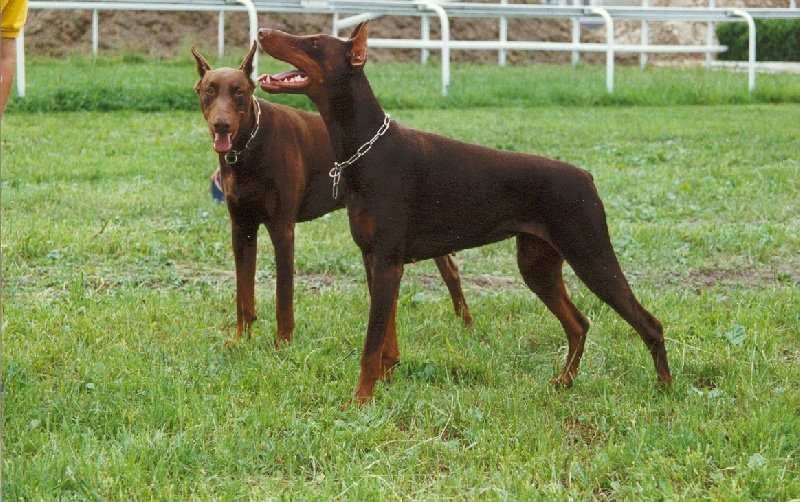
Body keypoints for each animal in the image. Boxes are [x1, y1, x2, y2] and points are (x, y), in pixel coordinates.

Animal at [191, 43, 472, 348]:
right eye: (210, 90)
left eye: (239, 91)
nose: (221, 125)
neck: (248, 147)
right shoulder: (241, 226)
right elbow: (243, 294)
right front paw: (241, 340)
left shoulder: (282, 228)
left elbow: (283, 295)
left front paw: (283, 342)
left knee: (451, 271)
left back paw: (466, 323)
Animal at [260, 23, 672, 402]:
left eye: (313, 42)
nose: (262, 31)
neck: (367, 149)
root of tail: (586, 176)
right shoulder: (373, 260)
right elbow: (386, 338)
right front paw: (385, 383)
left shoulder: (388, 261)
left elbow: (371, 343)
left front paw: (361, 399)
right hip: (538, 266)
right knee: (579, 324)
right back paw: (564, 381)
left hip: (591, 255)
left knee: (650, 324)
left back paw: (664, 388)